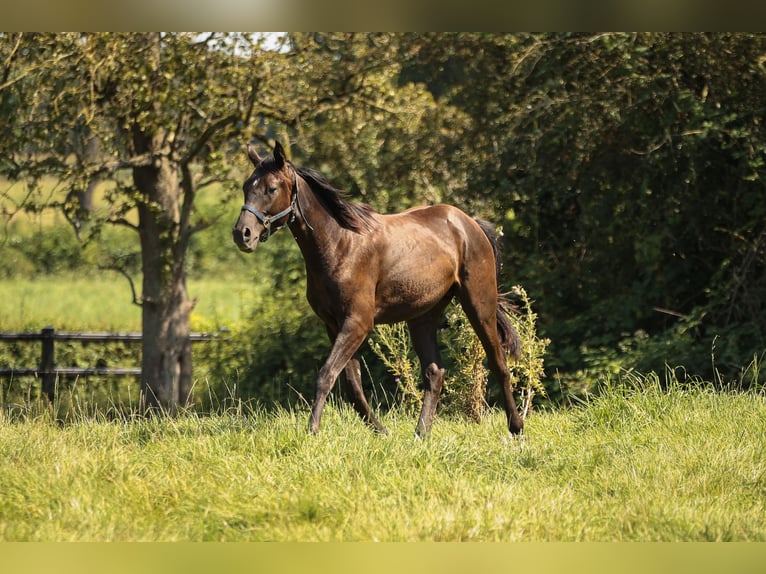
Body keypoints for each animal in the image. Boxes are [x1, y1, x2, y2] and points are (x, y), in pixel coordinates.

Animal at [232, 141, 524, 438]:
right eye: (246, 186)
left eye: (271, 188)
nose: (242, 234)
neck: (340, 244)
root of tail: (471, 224)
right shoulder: (334, 324)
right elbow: (351, 384)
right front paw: (380, 430)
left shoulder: (358, 323)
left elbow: (326, 374)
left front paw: (312, 429)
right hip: (422, 316)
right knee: (434, 371)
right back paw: (421, 433)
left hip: (479, 305)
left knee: (499, 363)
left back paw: (516, 427)